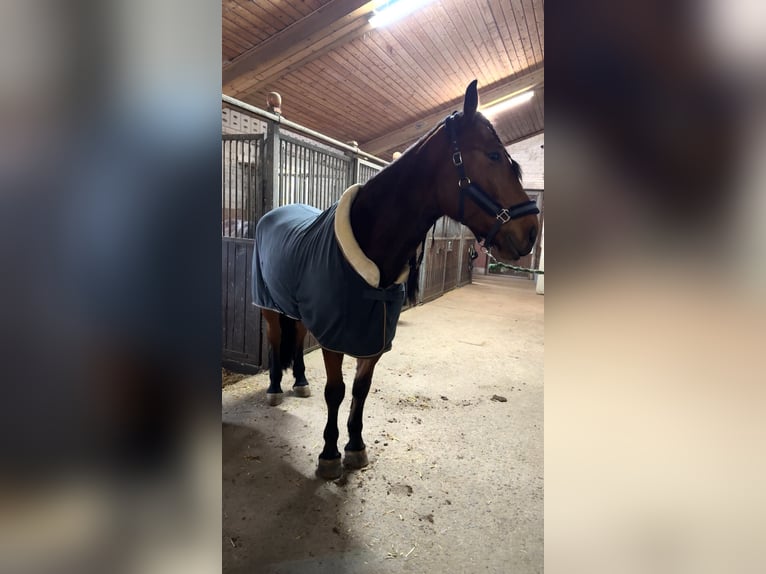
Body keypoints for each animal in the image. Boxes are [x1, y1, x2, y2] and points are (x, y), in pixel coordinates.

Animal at [252, 80, 540, 479]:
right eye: (494, 155)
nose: (531, 232)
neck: (370, 246)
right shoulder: (335, 337)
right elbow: (336, 392)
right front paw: (329, 455)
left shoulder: (375, 336)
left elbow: (361, 389)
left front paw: (355, 447)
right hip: (267, 303)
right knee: (277, 338)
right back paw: (276, 388)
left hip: (296, 305)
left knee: (295, 337)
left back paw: (300, 381)